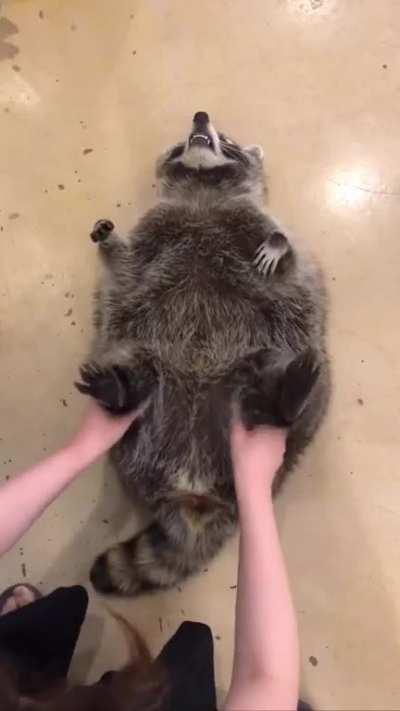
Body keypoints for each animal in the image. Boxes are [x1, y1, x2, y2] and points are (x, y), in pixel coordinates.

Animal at [77, 111, 330, 596]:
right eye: (182, 141)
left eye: (226, 139)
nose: (200, 115)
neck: (202, 190)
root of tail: (194, 490)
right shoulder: (153, 231)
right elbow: (125, 267)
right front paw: (108, 242)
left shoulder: (258, 227)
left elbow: (289, 262)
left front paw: (278, 245)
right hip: (145, 370)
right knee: (139, 367)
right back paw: (121, 391)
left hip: (271, 367)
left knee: (281, 377)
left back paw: (282, 401)